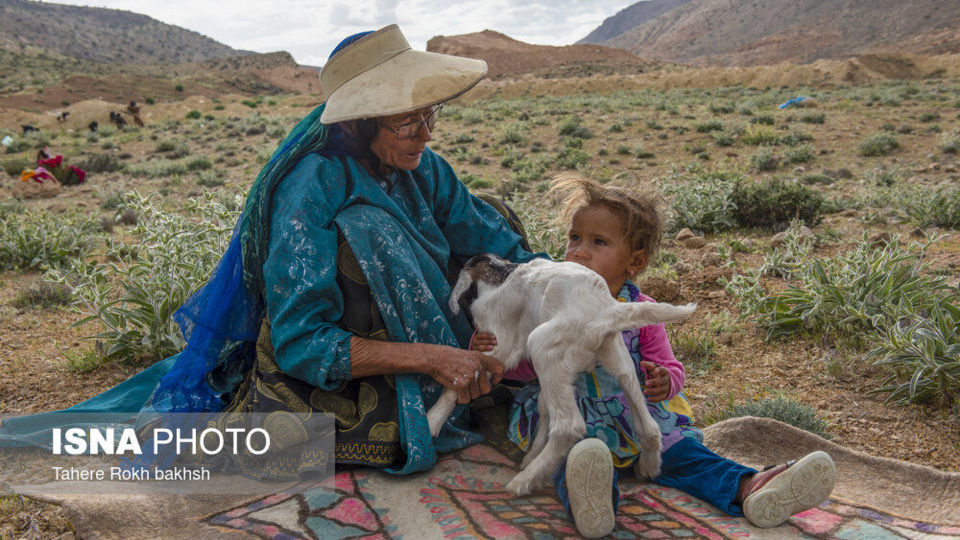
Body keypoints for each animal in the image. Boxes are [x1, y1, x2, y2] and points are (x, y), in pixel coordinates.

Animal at [430, 255, 696, 496]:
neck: (500, 272)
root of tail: (607, 309)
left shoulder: (501, 345)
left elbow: (462, 375)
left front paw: (433, 420)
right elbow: (542, 405)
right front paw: (531, 453)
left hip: (542, 345)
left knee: (569, 426)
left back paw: (525, 481)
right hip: (618, 359)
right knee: (648, 425)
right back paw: (649, 466)